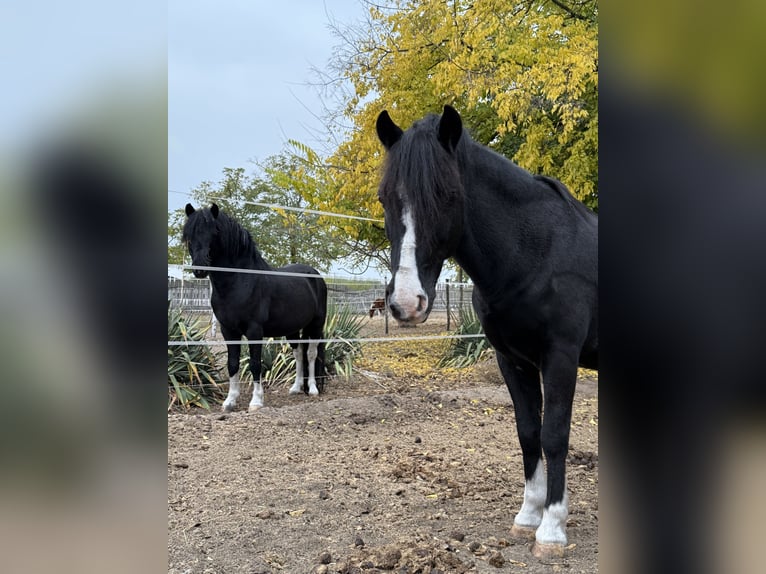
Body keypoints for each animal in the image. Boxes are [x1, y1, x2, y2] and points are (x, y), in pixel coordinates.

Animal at [182, 203, 327, 411]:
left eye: (214, 232)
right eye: (188, 235)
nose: (200, 269)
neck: (240, 282)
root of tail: (315, 275)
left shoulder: (254, 330)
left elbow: (255, 364)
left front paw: (256, 401)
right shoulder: (228, 330)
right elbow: (233, 364)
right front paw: (230, 401)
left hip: (316, 325)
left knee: (311, 354)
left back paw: (313, 389)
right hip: (292, 329)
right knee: (299, 353)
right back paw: (296, 388)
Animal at [375, 106, 598, 558]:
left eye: (447, 196)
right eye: (385, 198)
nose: (406, 302)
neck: (536, 252)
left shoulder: (561, 357)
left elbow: (555, 435)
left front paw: (552, 530)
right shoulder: (512, 360)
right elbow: (528, 433)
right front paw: (528, 516)